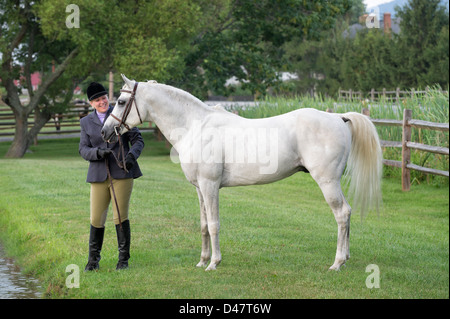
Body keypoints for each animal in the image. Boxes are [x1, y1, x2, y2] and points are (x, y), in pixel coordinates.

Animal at [103, 75, 384, 272]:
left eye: (121, 102)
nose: (106, 132)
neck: (195, 126)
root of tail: (339, 117)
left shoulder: (210, 185)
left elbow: (214, 224)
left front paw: (213, 263)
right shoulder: (199, 188)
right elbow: (203, 224)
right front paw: (201, 260)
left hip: (327, 182)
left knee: (342, 214)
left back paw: (337, 263)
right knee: (346, 213)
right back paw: (345, 259)